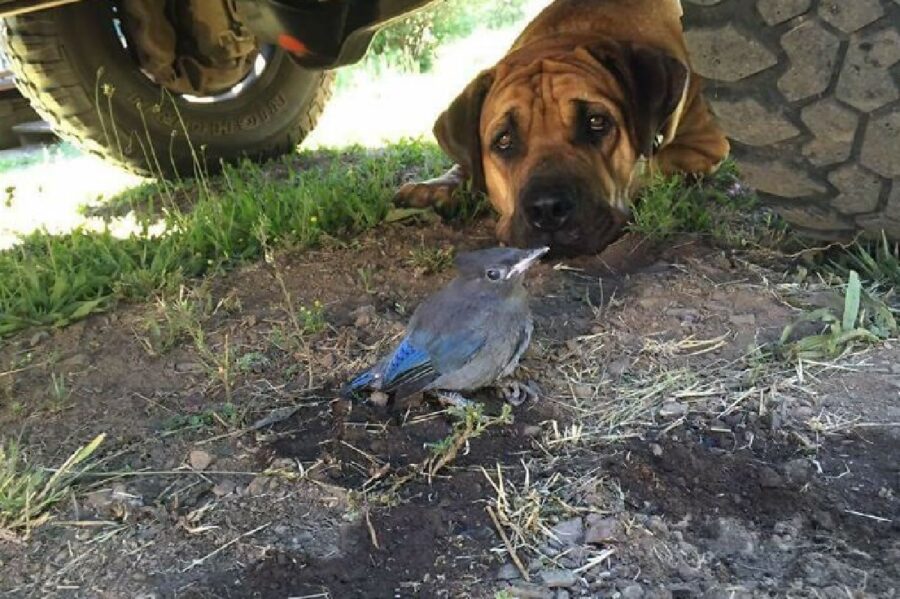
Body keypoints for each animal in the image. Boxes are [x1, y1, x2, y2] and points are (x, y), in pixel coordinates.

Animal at [396, 0, 732, 255]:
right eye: (503, 140)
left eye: (596, 122)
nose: (547, 208)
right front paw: (437, 185)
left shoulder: (705, 144)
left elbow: (652, 165)